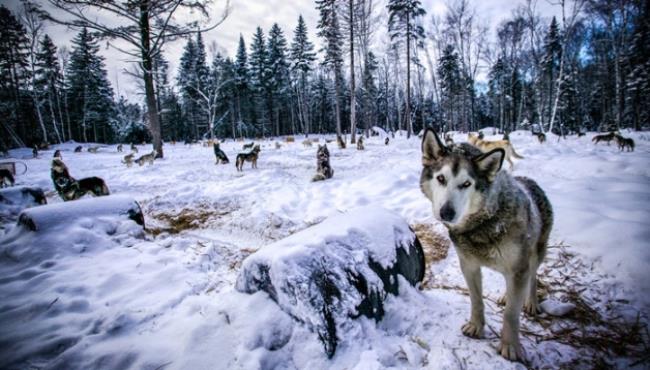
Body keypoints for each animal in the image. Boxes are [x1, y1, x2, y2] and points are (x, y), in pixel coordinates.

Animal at [420, 129, 552, 362]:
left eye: (466, 184)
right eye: (441, 179)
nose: (446, 213)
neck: (483, 224)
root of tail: (530, 180)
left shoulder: (519, 269)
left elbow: (511, 314)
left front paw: (510, 346)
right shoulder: (469, 266)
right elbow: (476, 301)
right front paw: (476, 327)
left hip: (535, 255)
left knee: (533, 277)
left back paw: (531, 302)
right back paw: (507, 296)